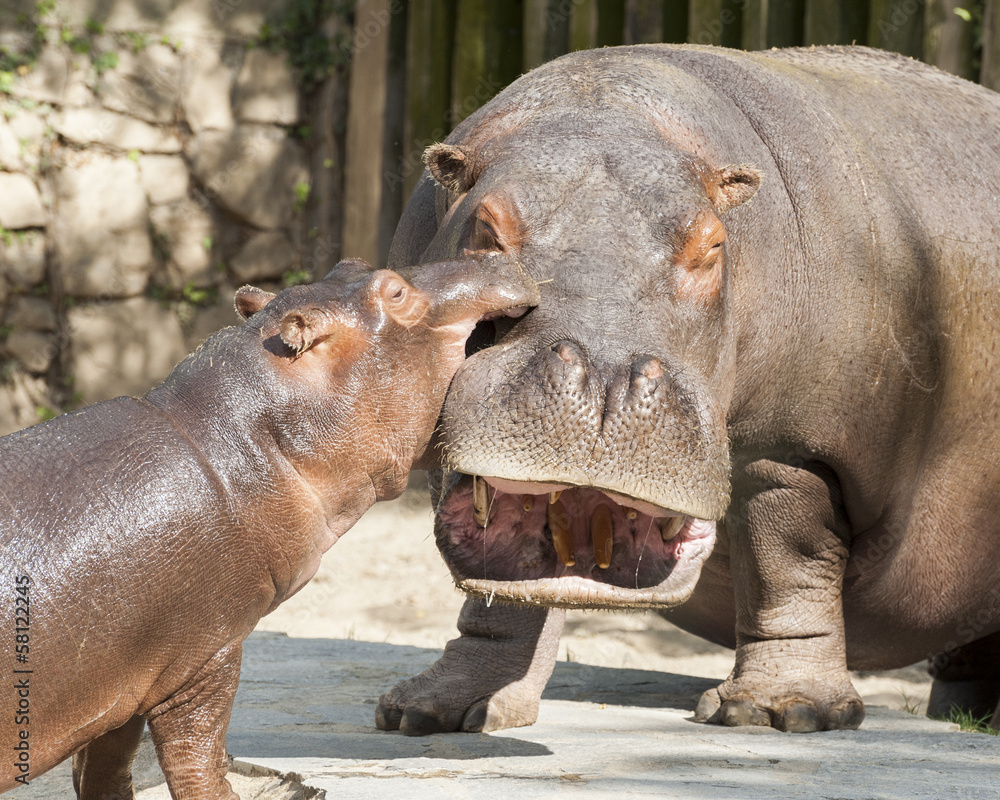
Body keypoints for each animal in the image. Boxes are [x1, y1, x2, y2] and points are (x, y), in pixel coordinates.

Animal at [0, 256, 540, 800]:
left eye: (350, 265)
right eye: (395, 292)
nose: (493, 255)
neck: (234, 442)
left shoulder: (124, 688)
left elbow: (104, 771)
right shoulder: (204, 660)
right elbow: (197, 763)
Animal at [376, 42, 1000, 732]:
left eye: (713, 244)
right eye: (485, 229)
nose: (603, 380)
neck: (606, 109)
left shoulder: (790, 450)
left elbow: (786, 565)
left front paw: (783, 711)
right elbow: (503, 589)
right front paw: (432, 710)